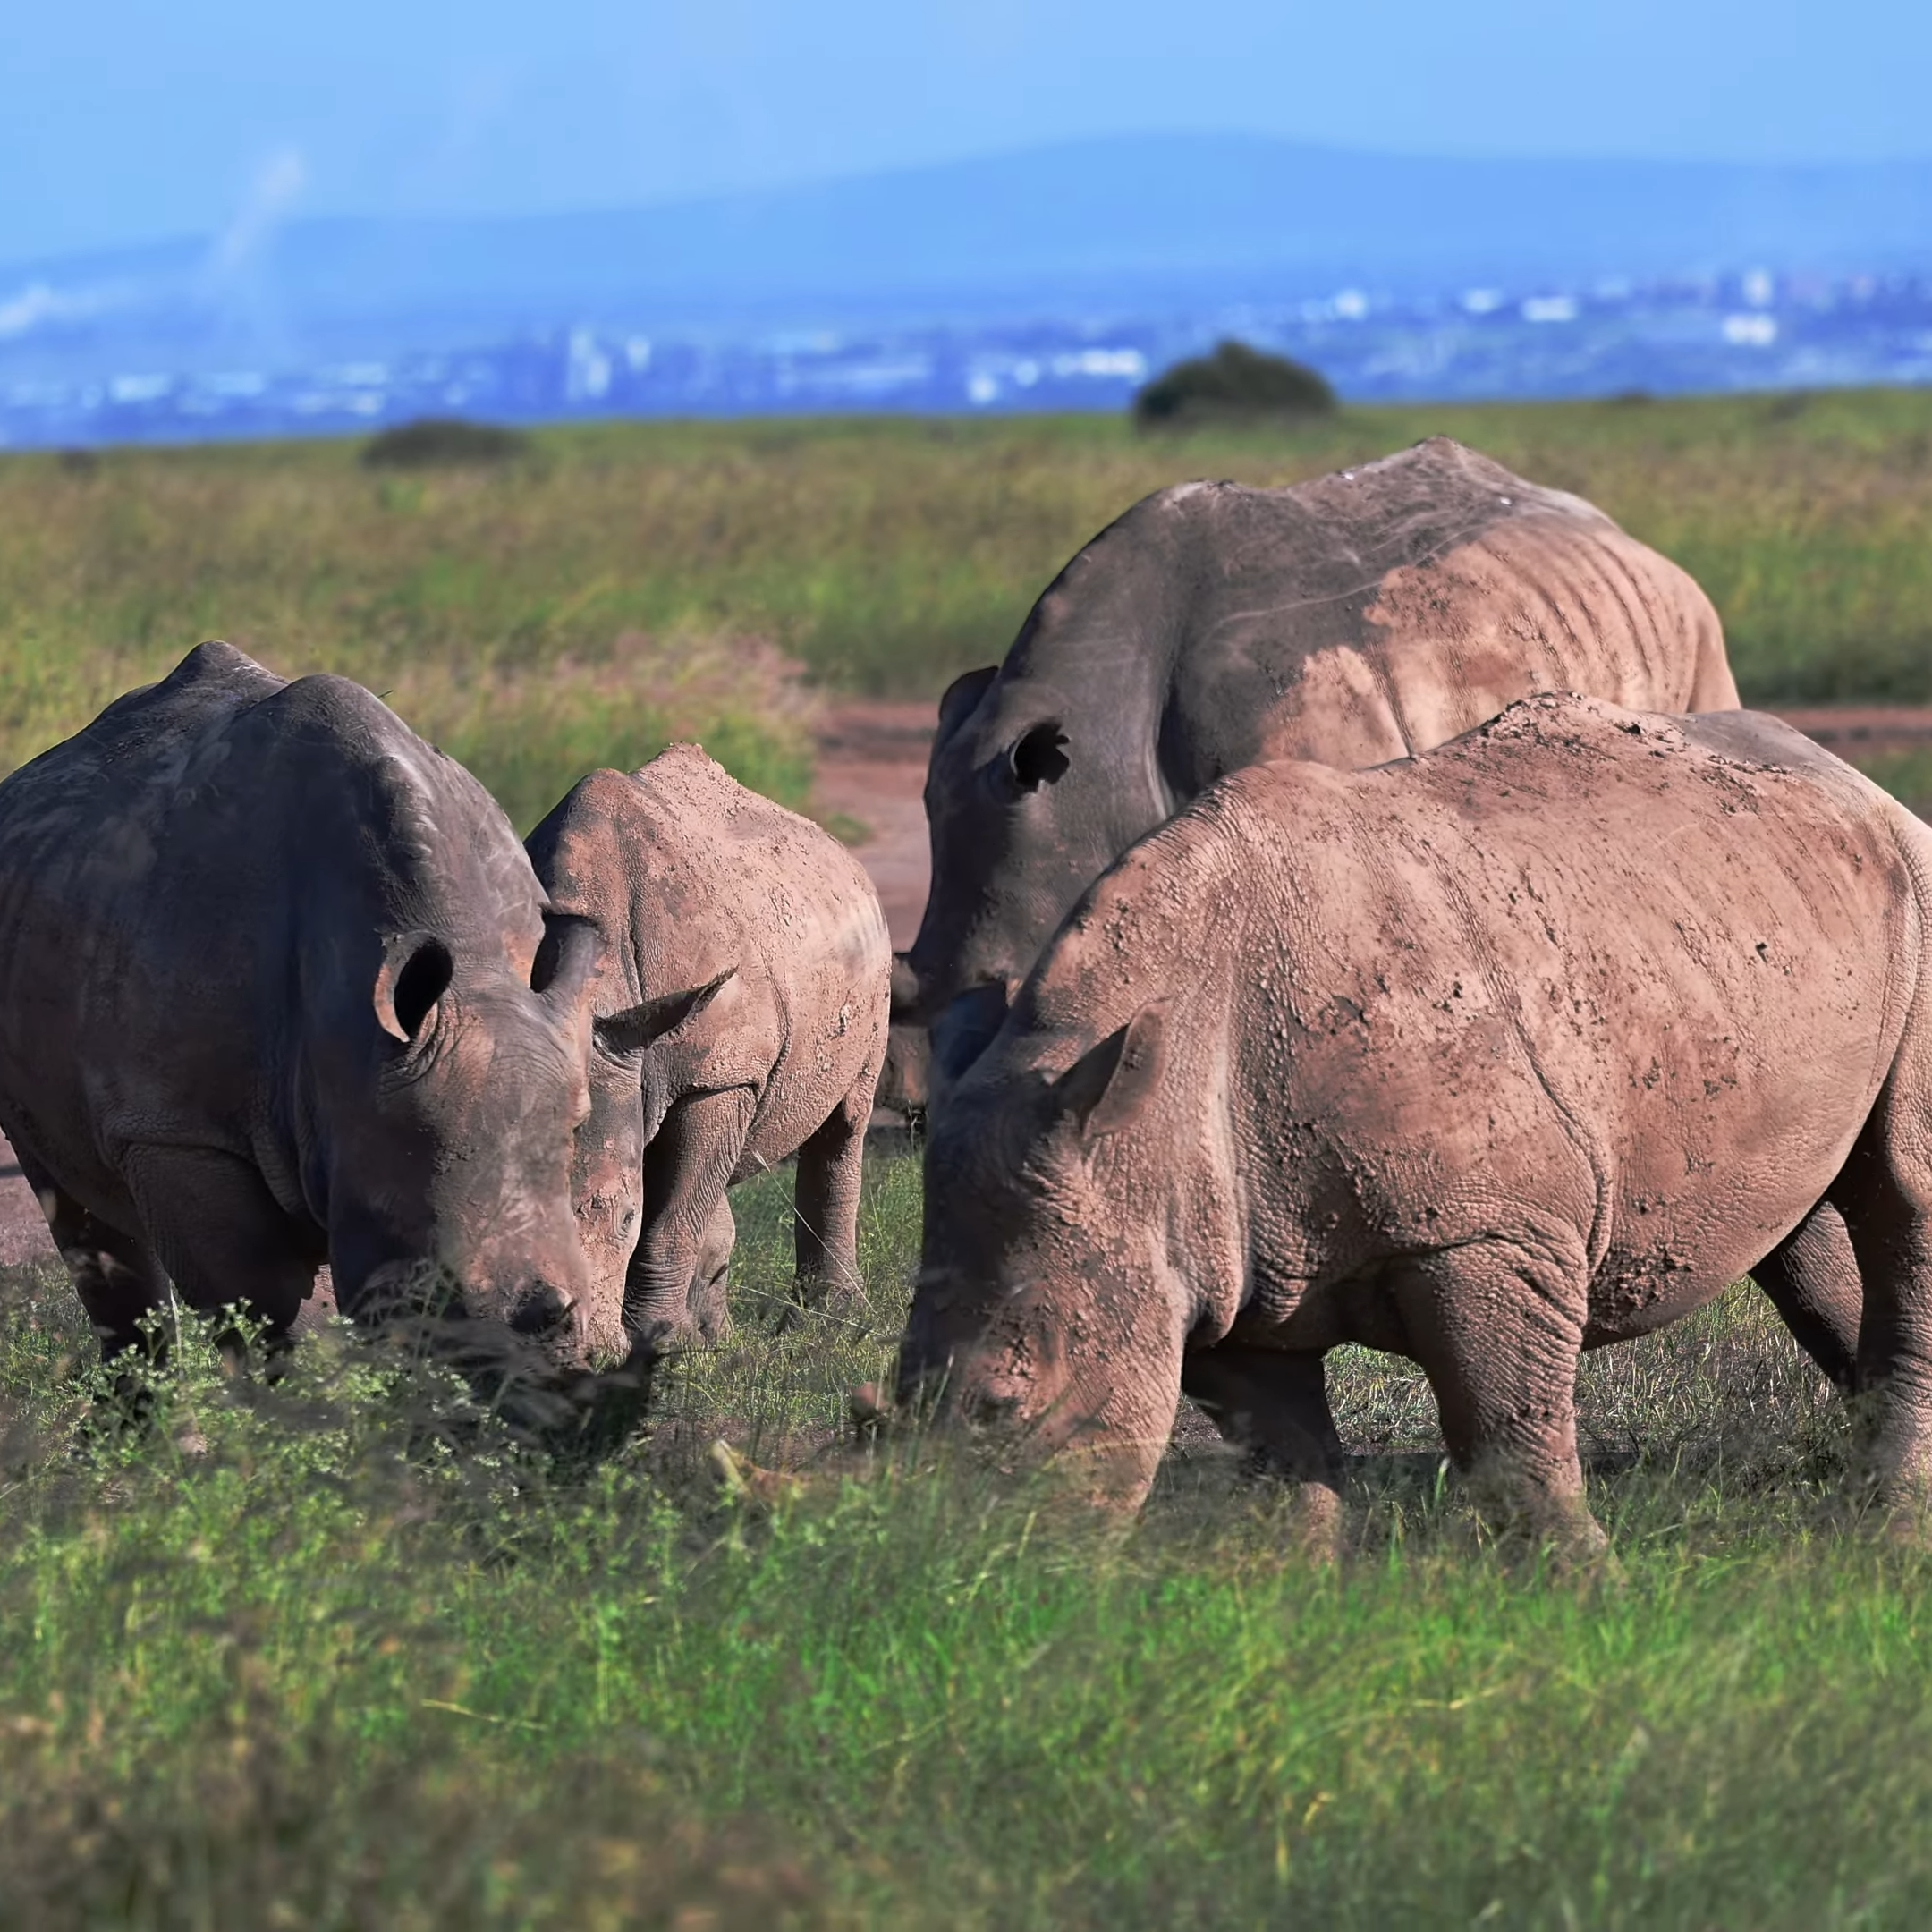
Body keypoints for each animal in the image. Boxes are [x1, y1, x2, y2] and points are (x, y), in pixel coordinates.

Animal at [0, 641, 595, 1383]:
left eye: (577, 1136)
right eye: (434, 1298)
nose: (536, 1366)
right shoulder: (176, 1129)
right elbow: (260, 1310)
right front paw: (283, 1408)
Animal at [529, 745, 888, 1368]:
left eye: (623, 1215)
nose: (573, 1356)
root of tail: (842, 852)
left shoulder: (721, 1076)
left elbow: (669, 1219)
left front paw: (657, 1344)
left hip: (872, 960)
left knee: (845, 1125)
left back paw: (827, 1325)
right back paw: (715, 1339)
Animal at [903, 699, 1932, 1553]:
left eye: (998, 1408)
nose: (966, 1587)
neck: (1143, 1123)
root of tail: (1857, 782)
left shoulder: (1485, 1229)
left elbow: (1507, 1427)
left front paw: (1578, 1590)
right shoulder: (1225, 1262)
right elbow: (1285, 1461)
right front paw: (1288, 1595)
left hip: (1913, 894)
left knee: (1901, 1200)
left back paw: (1882, 1529)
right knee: (1798, 1230)